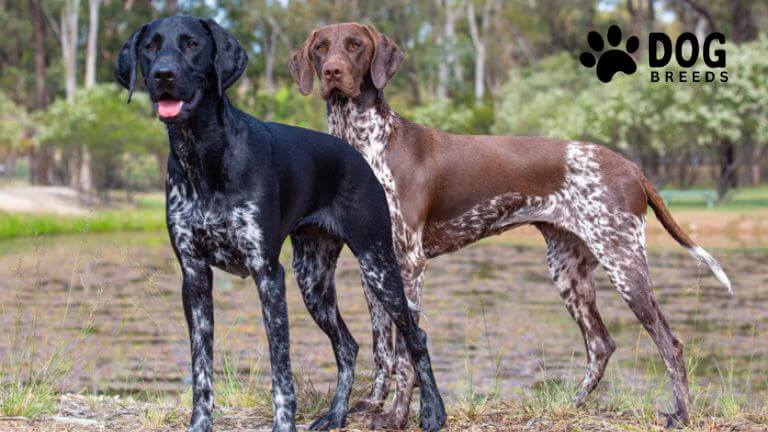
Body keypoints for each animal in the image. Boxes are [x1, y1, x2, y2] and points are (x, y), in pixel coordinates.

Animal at [117, 15, 448, 430]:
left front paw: (283, 424)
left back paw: (433, 411)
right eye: (150, 46)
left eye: (192, 44)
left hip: (379, 266)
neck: (204, 156)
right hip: (313, 281)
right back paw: (335, 414)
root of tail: (355, 153)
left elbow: (281, 370)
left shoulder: (268, 274)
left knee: (415, 335)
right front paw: (199, 423)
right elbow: (201, 369)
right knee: (347, 346)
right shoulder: (193, 277)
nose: (164, 74)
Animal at [290, 22, 732, 428]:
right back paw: (570, 405)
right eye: (321, 47)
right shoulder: (373, 265)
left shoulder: (408, 263)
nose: (331, 71)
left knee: (670, 343)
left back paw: (682, 414)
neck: (365, 143)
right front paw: (371, 404)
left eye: (355, 45)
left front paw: (397, 415)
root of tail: (630, 166)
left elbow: (406, 352)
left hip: (623, 263)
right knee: (601, 344)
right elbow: (383, 345)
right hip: (568, 271)